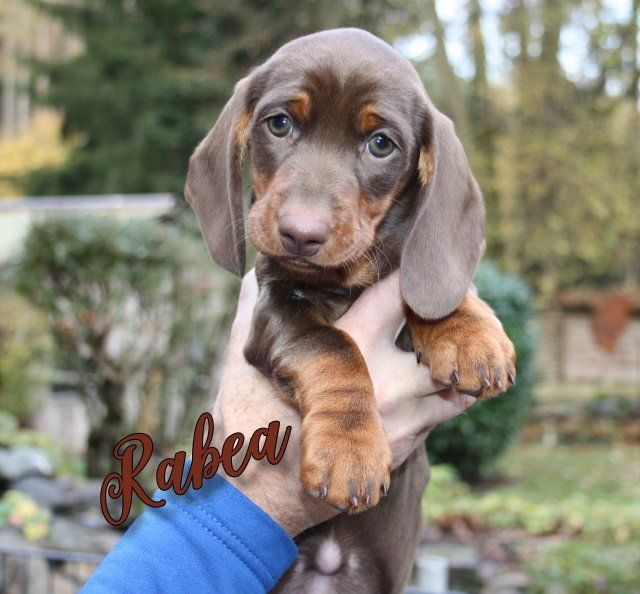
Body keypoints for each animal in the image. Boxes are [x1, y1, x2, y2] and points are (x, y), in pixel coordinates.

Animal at [186, 28, 516, 593]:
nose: (301, 233)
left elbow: (433, 287)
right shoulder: (275, 305)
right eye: (279, 123)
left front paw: (470, 333)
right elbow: (331, 346)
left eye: (380, 143)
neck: (344, 284)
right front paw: (350, 448)